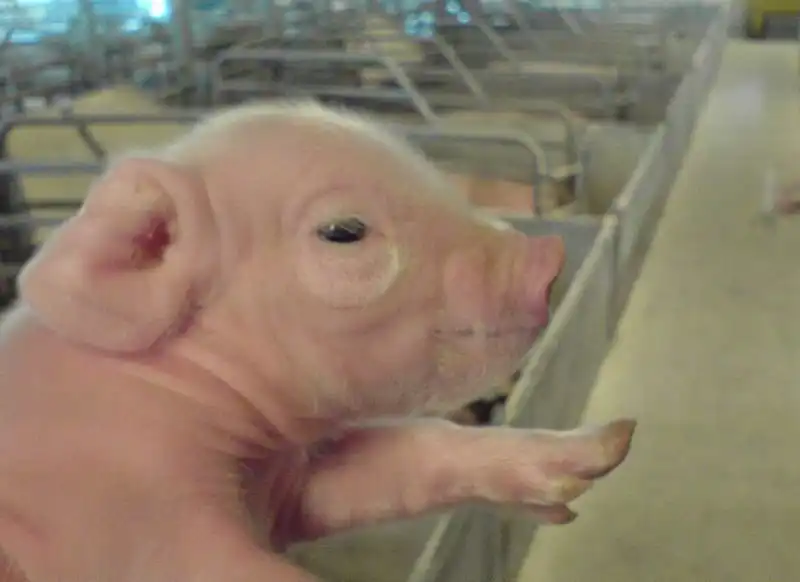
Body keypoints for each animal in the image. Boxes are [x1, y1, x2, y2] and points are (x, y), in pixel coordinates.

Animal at [0, 100, 636, 582]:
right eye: (343, 231)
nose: (548, 255)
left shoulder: (292, 486)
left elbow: (408, 446)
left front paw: (608, 445)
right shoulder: (129, 526)